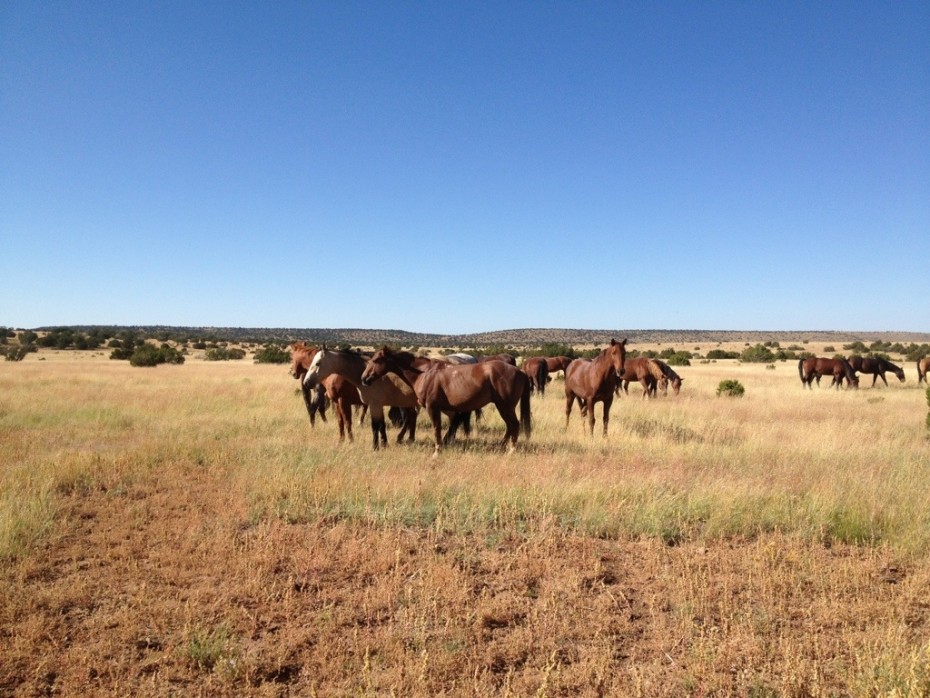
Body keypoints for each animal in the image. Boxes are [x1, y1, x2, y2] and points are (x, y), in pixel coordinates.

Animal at [358, 346, 528, 454]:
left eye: (376, 360)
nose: (364, 379)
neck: (424, 373)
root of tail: (519, 370)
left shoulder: (432, 408)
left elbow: (436, 429)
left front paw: (437, 451)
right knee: (510, 427)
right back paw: (501, 447)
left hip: (505, 406)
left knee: (514, 425)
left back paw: (511, 450)